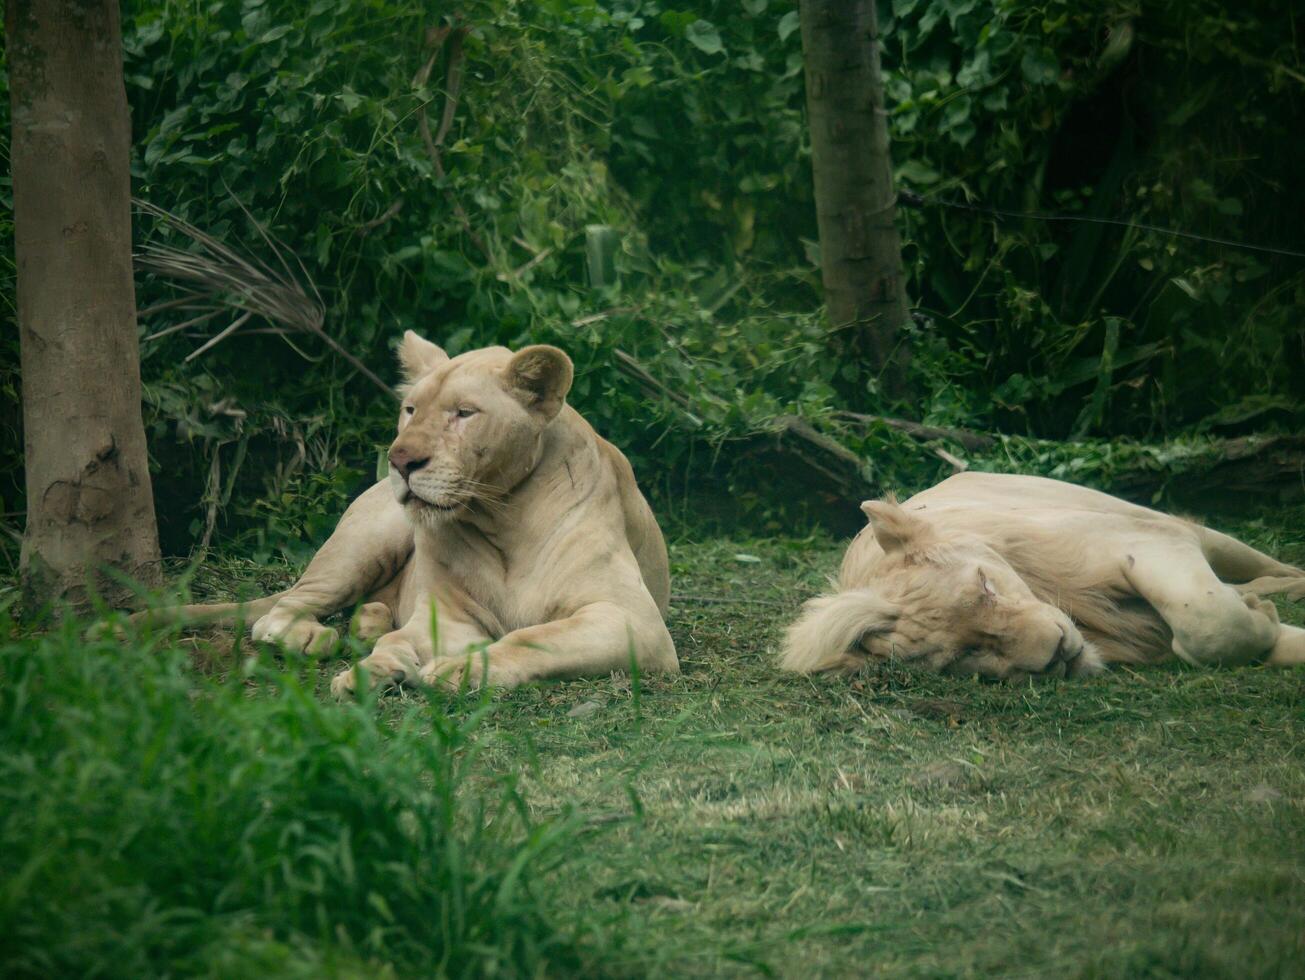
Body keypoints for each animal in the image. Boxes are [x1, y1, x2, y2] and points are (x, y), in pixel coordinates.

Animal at [777, 474, 1305, 683]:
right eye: (969, 652)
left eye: (987, 585)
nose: (1057, 653)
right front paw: (1268, 624)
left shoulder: (1147, 539)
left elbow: (1208, 619)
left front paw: (1261, 613)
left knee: (1275, 568)